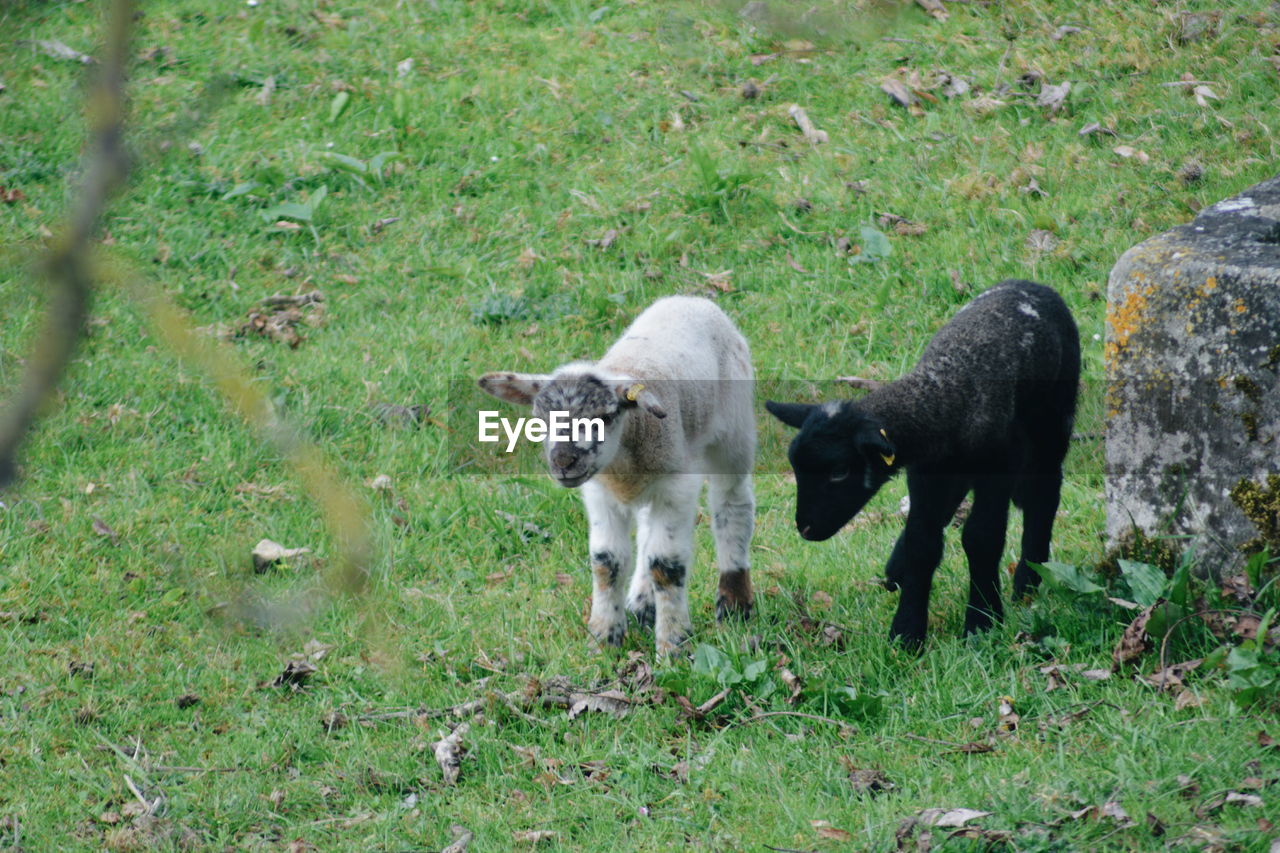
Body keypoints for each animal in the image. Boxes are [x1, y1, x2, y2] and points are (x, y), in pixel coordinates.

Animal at [481, 295, 757, 653]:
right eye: (539, 420)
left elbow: (666, 564)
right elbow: (606, 561)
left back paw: (735, 602)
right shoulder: (601, 491)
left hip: (734, 429)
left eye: (606, 417)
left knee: (732, 504)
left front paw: (673, 644)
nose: (563, 461)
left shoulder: (676, 486)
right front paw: (603, 638)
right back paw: (642, 603)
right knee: (647, 529)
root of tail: (690, 299)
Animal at [768, 279, 1080, 645]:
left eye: (839, 472)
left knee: (1043, 496)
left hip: (1054, 418)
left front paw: (982, 621)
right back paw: (896, 569)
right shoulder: (924, 473)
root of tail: (1031, 283)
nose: (805, 528)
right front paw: (907, 633)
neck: (945, 395)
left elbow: (982, 537)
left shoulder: (999, 464)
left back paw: (1029, 582)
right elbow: (923, 542)